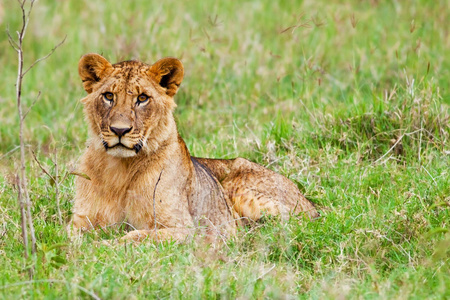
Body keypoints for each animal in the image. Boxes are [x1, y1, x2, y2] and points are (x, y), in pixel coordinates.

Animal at [68, 53, 318, 241]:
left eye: (142, 98)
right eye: (108, 96)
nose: (120, 130)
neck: (119, 169)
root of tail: (309, 202)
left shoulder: (185, 229)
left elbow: (133, 237)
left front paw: (104, 246)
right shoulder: (80, 219)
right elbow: (68, 236)